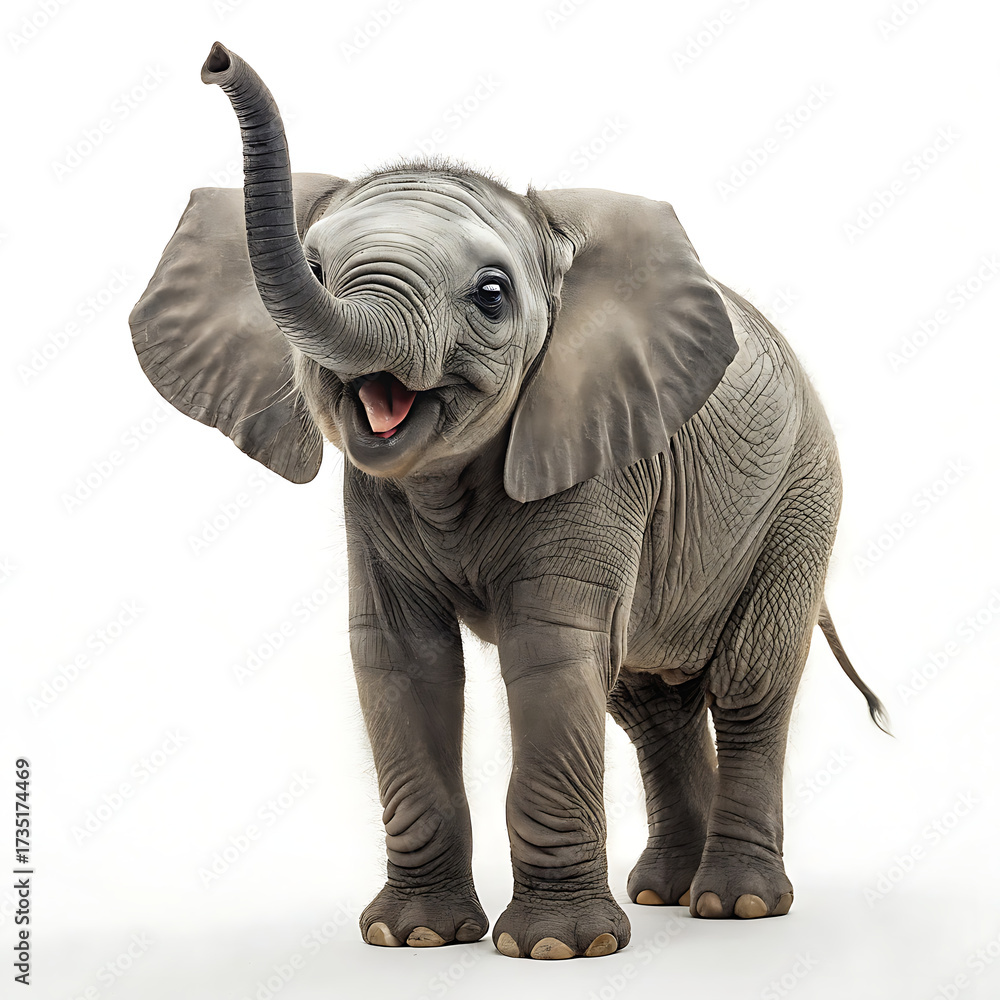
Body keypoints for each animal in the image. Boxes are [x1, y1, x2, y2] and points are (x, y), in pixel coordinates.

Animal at [130, 42, 888, 961]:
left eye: (492, 296)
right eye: (313, 270)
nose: (215, 58)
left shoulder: (600, 460)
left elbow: (550, 649)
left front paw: (558, 950)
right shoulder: (372, 501)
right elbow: (401, 659)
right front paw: (415, 938)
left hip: (801, 496)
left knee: (749, 682)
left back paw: (732, 906)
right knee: (648, 702)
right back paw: (665, 894)